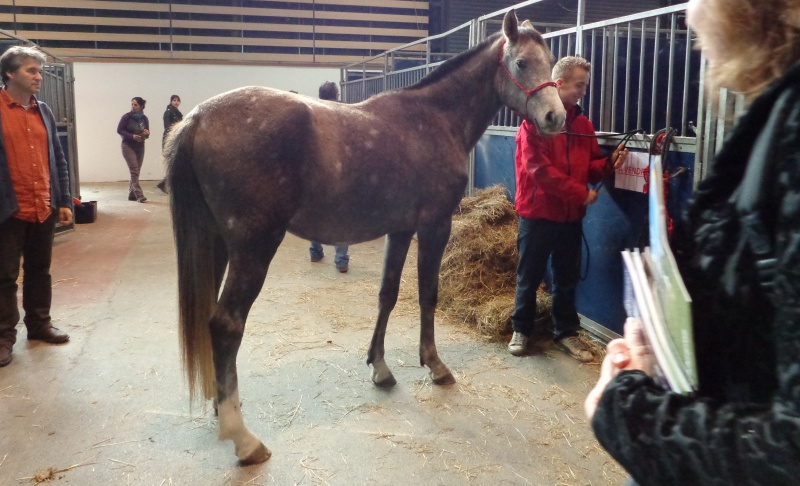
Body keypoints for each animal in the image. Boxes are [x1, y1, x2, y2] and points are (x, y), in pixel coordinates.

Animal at [166, 10, 564, 464]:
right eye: (521, 63)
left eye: (551, 62)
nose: (555, 118)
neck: (435, 118)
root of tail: (197, 117)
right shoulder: (434, 226)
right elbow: (427, 294)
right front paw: (435, 365)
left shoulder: (400, 229)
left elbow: (387, 294)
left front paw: (380, 367)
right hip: (254, 247)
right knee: (226, 324)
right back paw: (244, 438)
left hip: (217, 244)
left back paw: (221, 405)